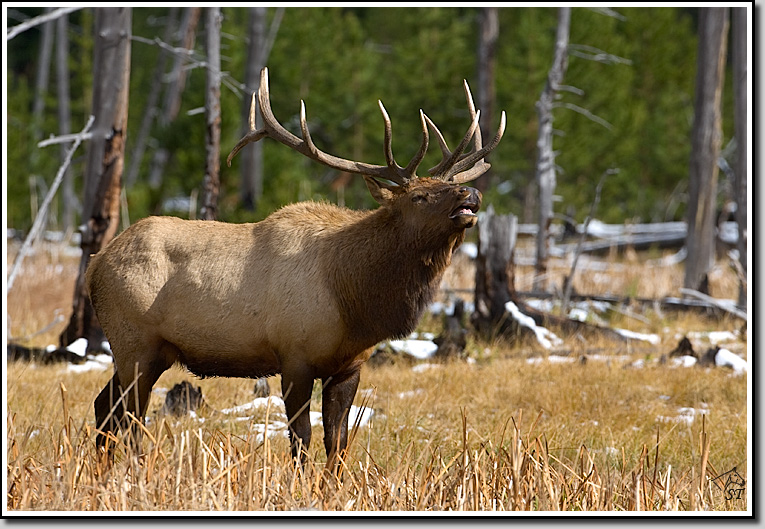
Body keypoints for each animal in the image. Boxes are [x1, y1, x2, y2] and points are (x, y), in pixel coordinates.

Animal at [88, 67, 505, 470]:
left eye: (449, 186)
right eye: (419, 196)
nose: (471, 193)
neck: (353, 297)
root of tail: (95, 265)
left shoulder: (350, 365)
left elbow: (337, 442)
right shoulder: (294, 356)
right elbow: (301, 438)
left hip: (148, 352)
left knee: (105, 406)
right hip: (134, 343)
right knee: (130, 418)